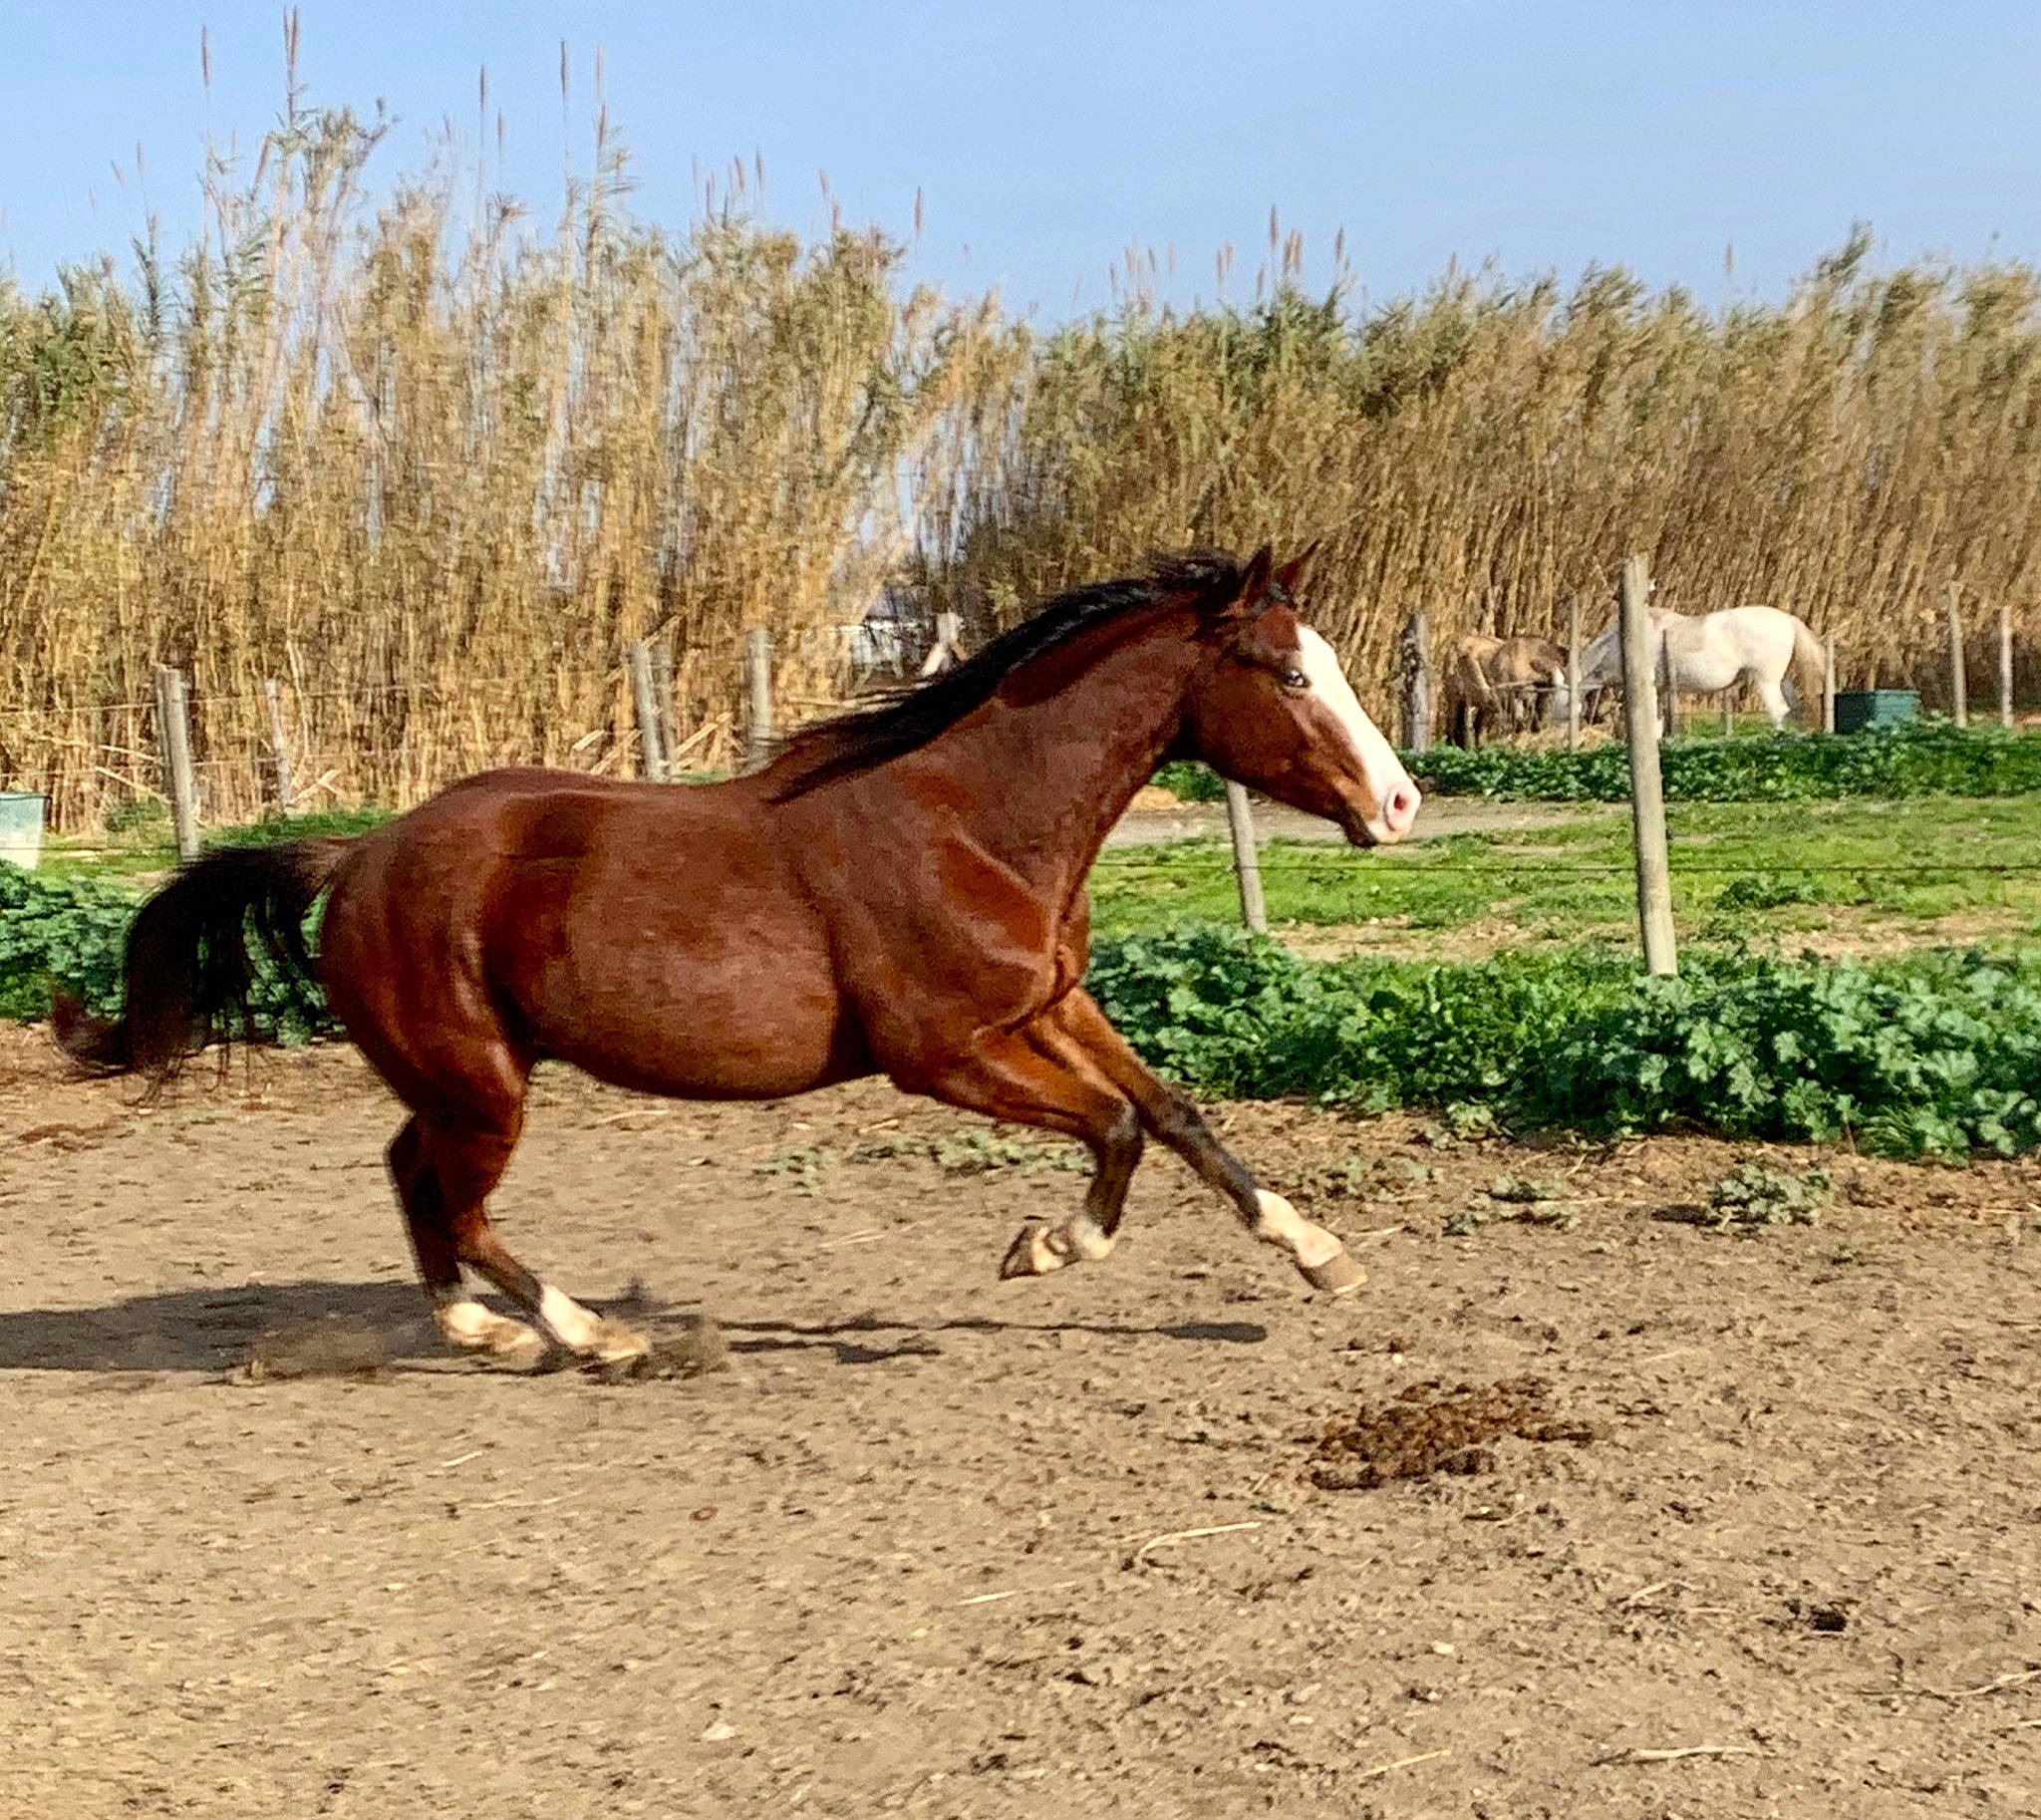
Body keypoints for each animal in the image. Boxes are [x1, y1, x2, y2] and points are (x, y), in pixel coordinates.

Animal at [53, 548, 1421, 1370]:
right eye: (1289, 672)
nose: (1401, 802)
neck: (970, 821)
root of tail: (358, 854)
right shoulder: (943, 1055)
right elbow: (1117, 1131)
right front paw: (1041, 1247)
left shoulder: (1050, 1004)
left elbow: (1178, 1114)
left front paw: (1320, 1255)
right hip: (484, 1083)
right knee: (462, 1199)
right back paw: (586, 1332)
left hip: (457, 1076)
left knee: (411, 1176)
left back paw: (477, 1327)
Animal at [1441, 634, 1571, 748]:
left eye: (1550, 694)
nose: (1539, 727)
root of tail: (1456, 643)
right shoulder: (1507, 696)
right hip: (1456, 699)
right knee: (1453, 724)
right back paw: (1454, 744)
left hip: (1484, 707)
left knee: (1478, 727)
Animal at [1579, 604, 1826, 729]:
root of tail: (1787, 619)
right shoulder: (1662, 690)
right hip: (1781, 680)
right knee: (1794, 709)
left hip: (1766, 682)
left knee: (1779, 711)